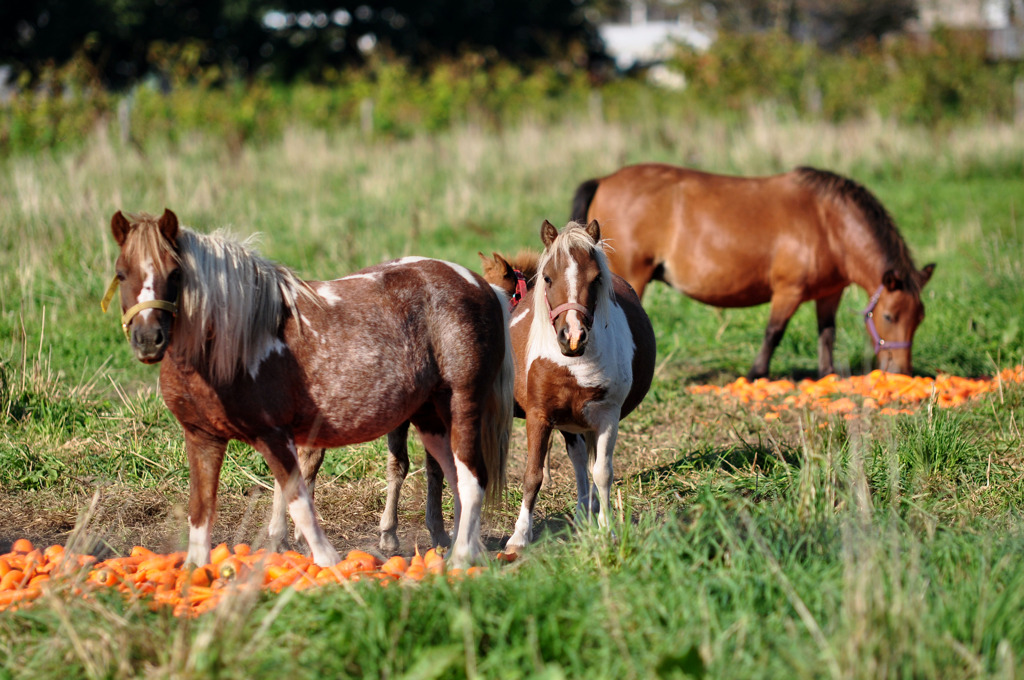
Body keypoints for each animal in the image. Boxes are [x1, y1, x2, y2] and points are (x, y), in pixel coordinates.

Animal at [105, 208, 512, 569]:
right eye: (121, 273)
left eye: (175, 274)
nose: (148, 340)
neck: (233, 343)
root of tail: (480, 285)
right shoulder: (202, 437)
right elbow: (201, 511)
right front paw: (196, 572)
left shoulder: (273, 435)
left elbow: (298, 501)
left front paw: (326, 561)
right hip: (429, 418)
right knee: (456, 479)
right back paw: (460, 550)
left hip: (462, 404)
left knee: (473, 480)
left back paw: (460, 559)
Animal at [569, 162, 937, 378]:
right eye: (889, 317)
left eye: (919, 319)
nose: (901, 373)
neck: (827, 223)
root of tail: (604, 180)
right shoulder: (788, 292)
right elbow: (773, 333)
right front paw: (756, 374)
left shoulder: (829, 294)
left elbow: (827, 335)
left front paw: (828, 375)